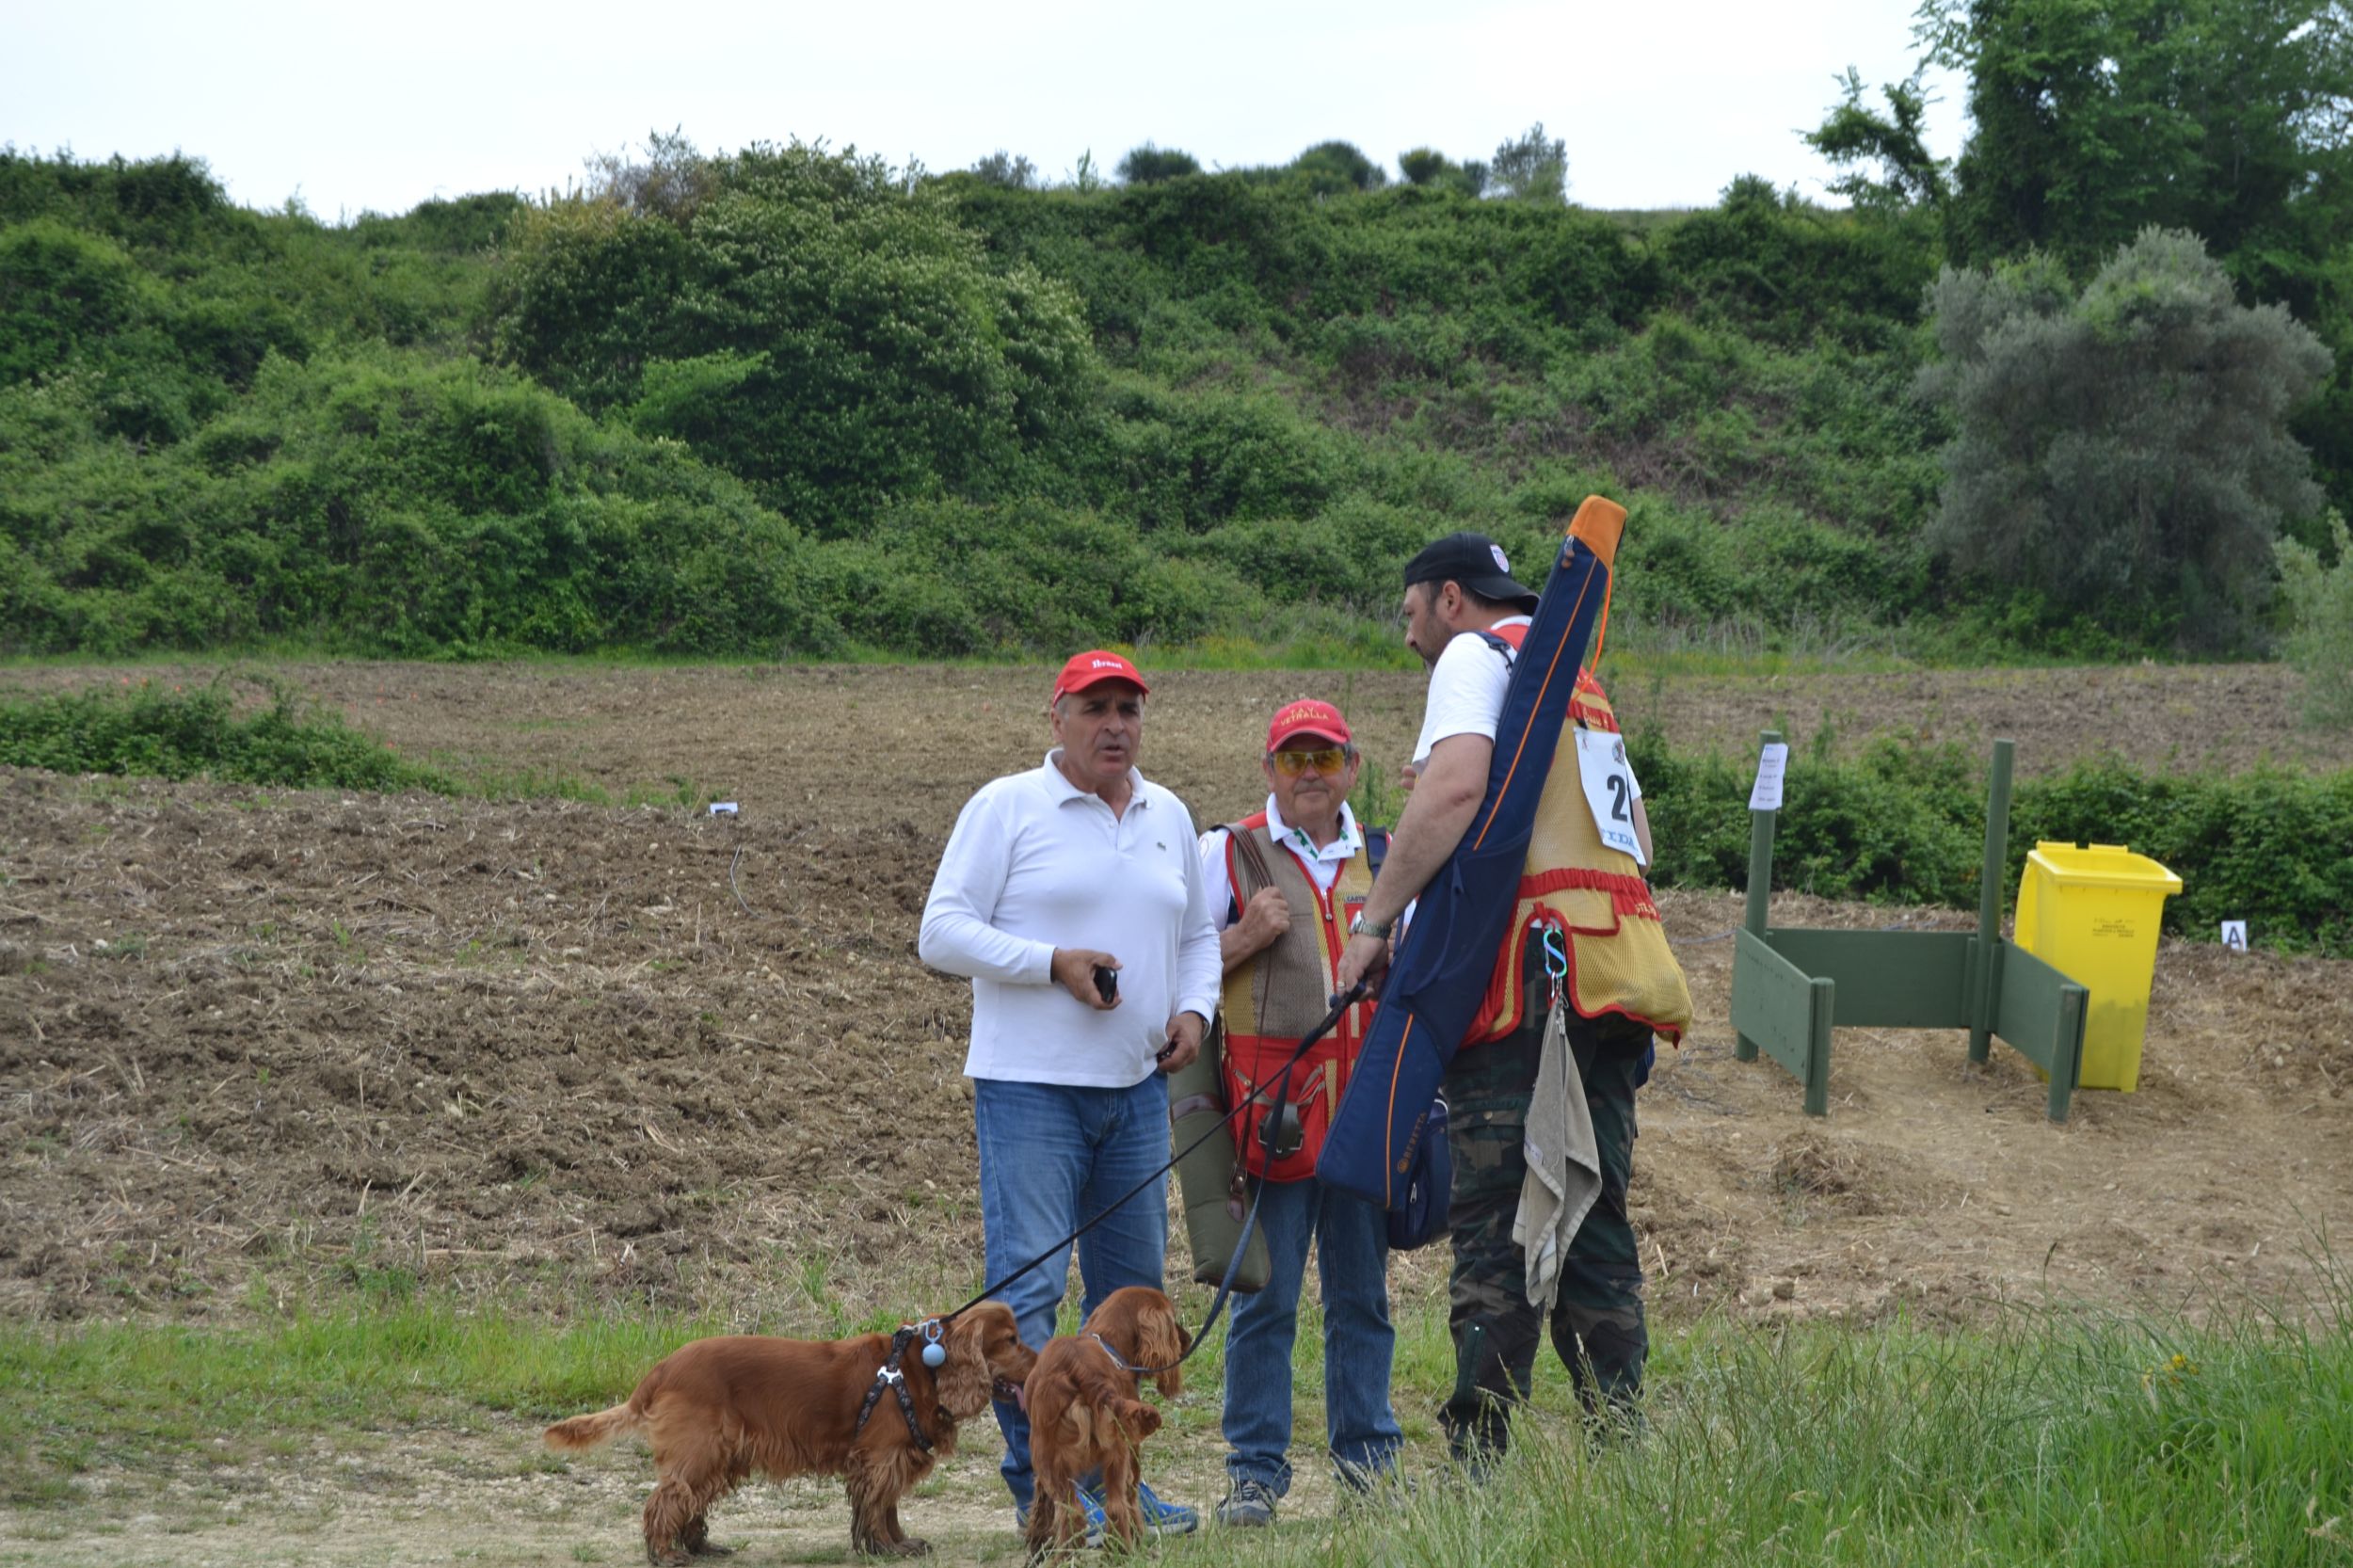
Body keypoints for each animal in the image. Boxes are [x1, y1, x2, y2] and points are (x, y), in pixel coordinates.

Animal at [551, 1299, 1040, 1553]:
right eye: (1011, 1340)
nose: (1041, 1362)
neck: (924, 1365)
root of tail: (662, 1368)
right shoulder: (881, 1456)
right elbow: (878, 1508)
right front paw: (887, 1549)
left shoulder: (891, 1458)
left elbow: (888, 1507)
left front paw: (899, 1543)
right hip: (700, 1450)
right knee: (665, 1501)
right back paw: (668, 1555)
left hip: (717, 1455)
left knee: (689, 1501)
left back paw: (700, 1549)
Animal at [1021, 1280, 1186, 1553]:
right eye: (1174, 1322)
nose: (1189, 1338)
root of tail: (1084, 1371)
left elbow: (1041, 1499)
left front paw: (1036, 1542)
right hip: (1117, 1452)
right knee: (1117, 1506)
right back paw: (1121, 1554)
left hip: (1047, 1453)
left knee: (1075, 1511)